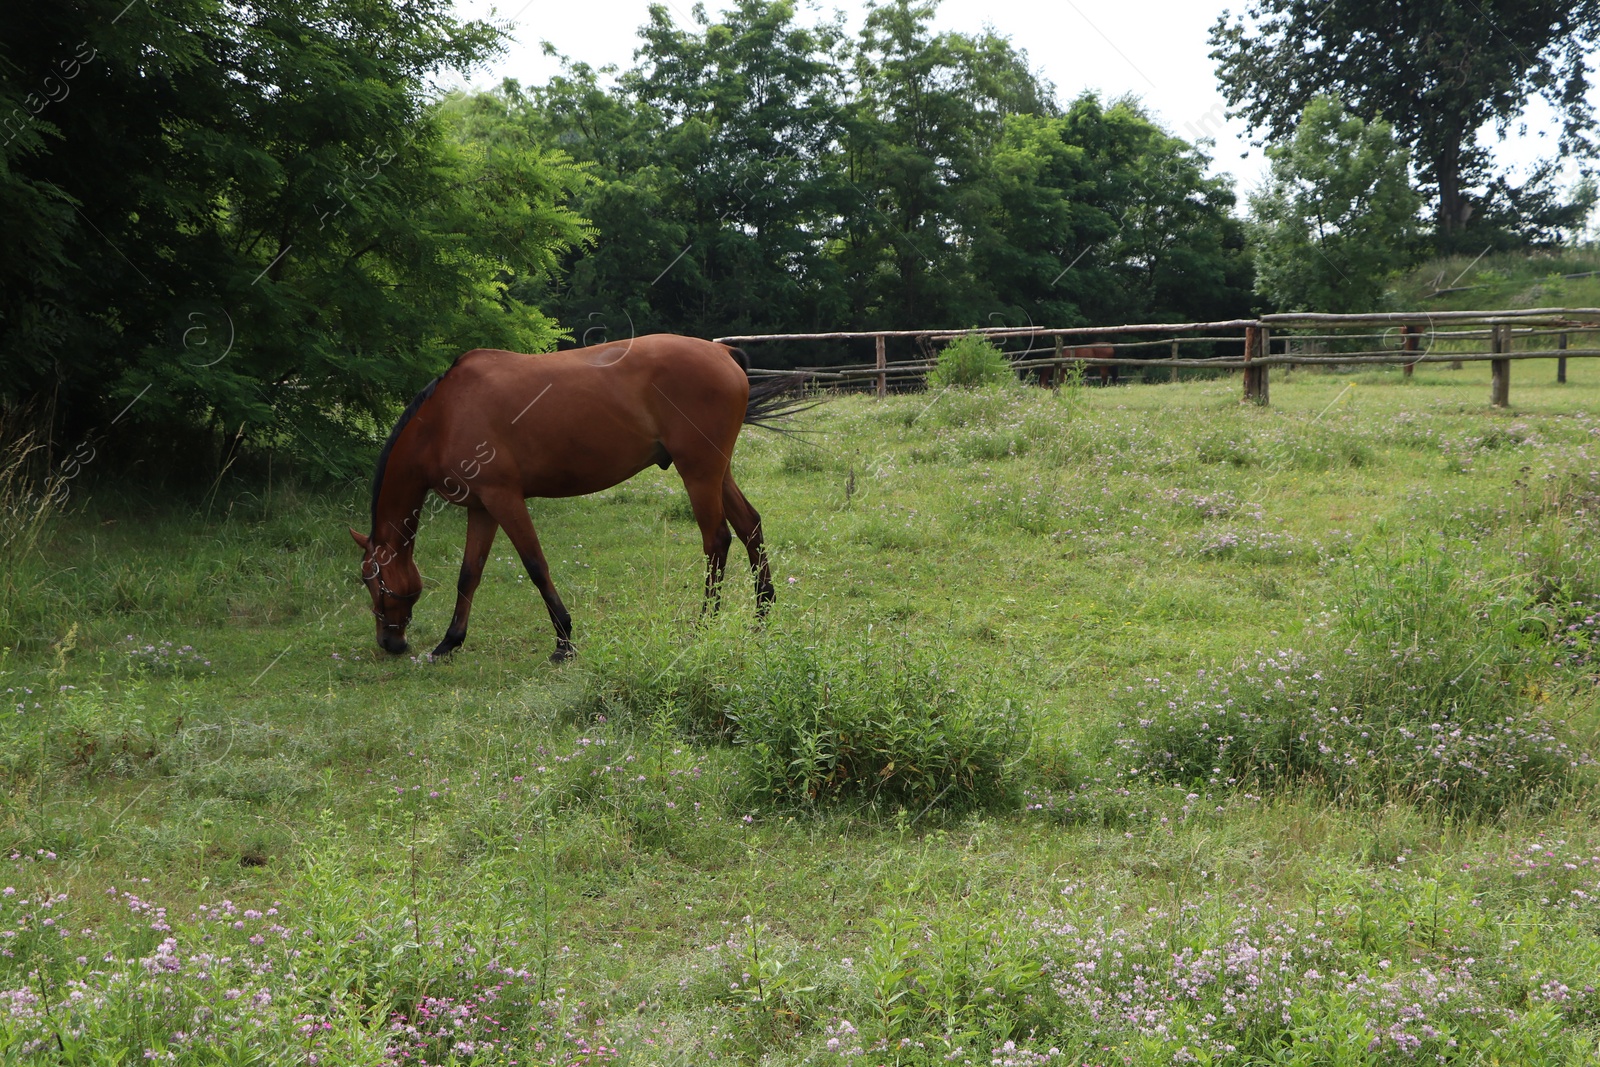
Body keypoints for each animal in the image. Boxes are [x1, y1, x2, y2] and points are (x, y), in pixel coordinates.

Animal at [350, 334, 800, 659]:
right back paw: (762, 615)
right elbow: (469, 574)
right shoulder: (482, 508)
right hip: (716, 471)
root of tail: (722, 351)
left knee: (716, 540)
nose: (389, 643)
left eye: (372, 581)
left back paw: (704, 624)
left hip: (699, 472)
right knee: (749, 525)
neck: (445, 417)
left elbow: (535, 566)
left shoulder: (504, 499)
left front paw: (564, 642)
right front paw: (450, 641)